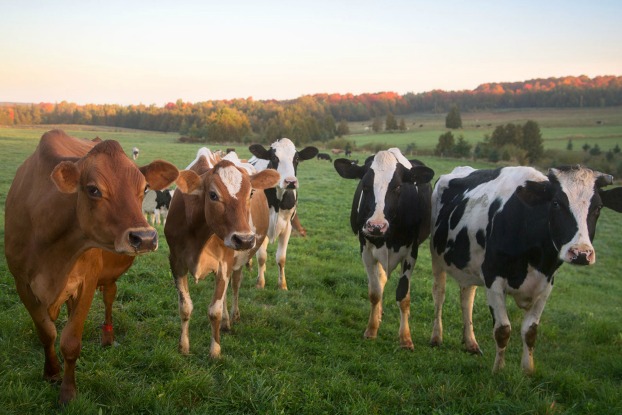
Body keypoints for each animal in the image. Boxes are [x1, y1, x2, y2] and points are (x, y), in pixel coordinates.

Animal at [4, 130, 180, 404]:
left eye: (144, 188)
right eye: (93, 189)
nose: (145, 238)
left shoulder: (87, 281)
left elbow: (70, 341)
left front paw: (68, 392)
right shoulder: (21, 283)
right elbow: (46, 331)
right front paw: (51, 372)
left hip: (107, 278)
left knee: (109, 297)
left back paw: (108, 336)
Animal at [167, 154, 282, 360]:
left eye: (251, 193)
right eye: (213, 195)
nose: (245, 239)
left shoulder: (224, 264)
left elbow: (215, 310)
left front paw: (215, 350)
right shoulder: (176, 262)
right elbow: (185, 306)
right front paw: (183, 347)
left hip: (238, 261)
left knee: (234, 286)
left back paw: (233, 316)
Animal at [249, 138, 320, 290]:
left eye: (296, 158)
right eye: (274, 158)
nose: (290, 182)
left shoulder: (287, 226)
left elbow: (281, 258)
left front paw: (282, 285)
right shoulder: (259, 227)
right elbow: (261, 257)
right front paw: (260, 283)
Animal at [336, 148, 434, 350]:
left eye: (397, 187)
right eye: (365, 186)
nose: (376, 226)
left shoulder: (411, 253)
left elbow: (403, 296)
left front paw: (405, 338)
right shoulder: (365, 250)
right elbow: (375, 292)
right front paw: (371, 329)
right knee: (381, 280)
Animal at [432, 165, 622, 374]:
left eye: (598, 207)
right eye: (556, 203)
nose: (581, 253)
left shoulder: (546, 284)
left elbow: (530, 331)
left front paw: (528, 370)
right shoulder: (493, 278)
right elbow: (503, 329)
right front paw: (498, 370)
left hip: (470, 266)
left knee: (467, 298)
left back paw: (471, 343)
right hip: (437, 258)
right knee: (439, 294)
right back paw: (436, 337)